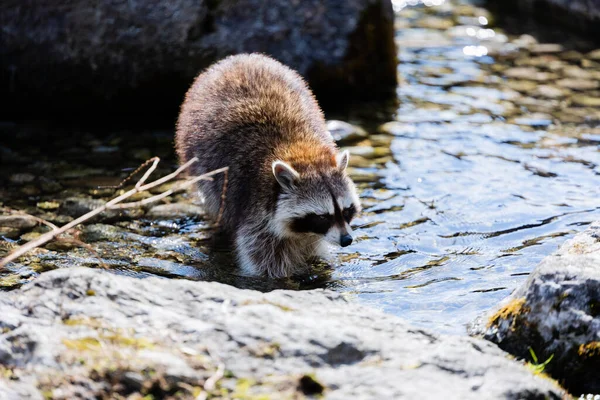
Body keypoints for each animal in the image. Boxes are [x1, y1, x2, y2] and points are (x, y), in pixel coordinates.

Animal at [175, 54, 360, 278]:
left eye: (346, 210)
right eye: (323, 216)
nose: (346, 240)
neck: (303, 155)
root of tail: (240, 58)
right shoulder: (254, 209)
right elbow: (264, 260)